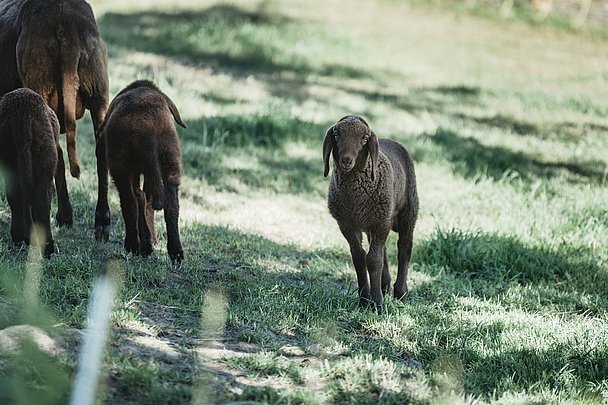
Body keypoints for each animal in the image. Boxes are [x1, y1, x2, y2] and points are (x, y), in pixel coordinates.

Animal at [0, 0, 111, 240]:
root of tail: (65, 20)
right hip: (98, 91)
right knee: (101, 154)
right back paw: (101, 221)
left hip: (40, 85)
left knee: (54, 155)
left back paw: (61, 217)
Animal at [0, 90, 60, 258]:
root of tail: (22, 117)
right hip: (45, 159)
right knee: (41, 203)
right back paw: (47, 248)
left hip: (11, 157)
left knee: (17, 197)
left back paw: (21, 237)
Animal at [101, 79, 186, 262]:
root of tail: (147, 129)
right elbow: (148, 201)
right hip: (169, 158)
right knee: (170, 204)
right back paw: (175, 252)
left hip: (120, 165)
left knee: (130, 200)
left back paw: (134, 245)